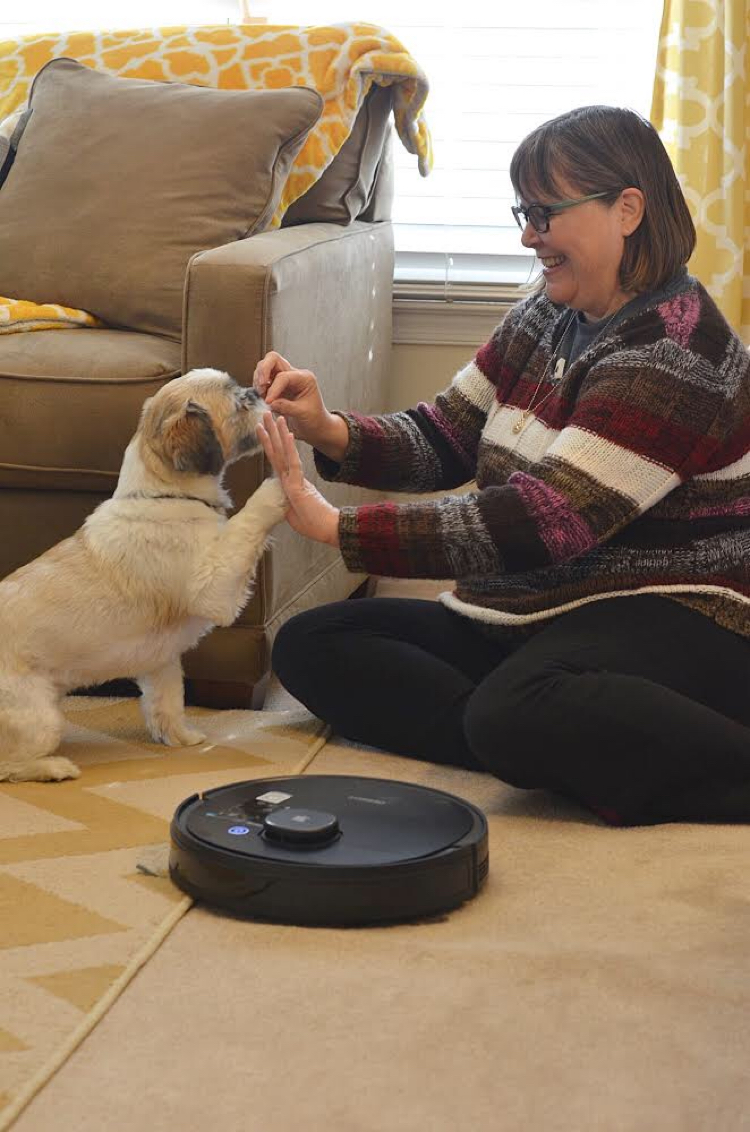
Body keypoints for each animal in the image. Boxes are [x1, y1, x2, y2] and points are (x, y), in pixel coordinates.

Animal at [0, 366, 287, 783]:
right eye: (239, 400)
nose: (258, 391)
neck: (165, 498)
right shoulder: (215, 586)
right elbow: (249, 521)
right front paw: (284, 482)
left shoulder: (161, 662)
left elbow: (167, 702)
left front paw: (180, 737)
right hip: (39, 718)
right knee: (8, 764)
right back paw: (53, 767)